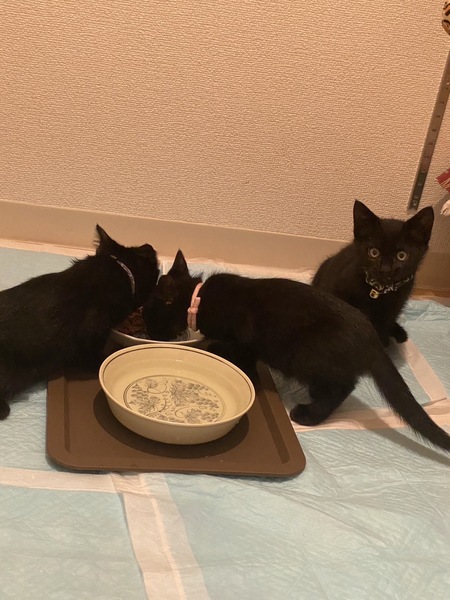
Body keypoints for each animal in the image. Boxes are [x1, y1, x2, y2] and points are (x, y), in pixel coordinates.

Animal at [142, 250, 450, 453]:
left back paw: (309, 414)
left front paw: (221, 351)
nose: (148, 333)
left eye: (148, 315)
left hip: (304, 356)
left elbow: (243, 356)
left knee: (343, 386)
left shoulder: (246, 338)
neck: (199, 299)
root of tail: (370, 338)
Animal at [312, 200, 434, 346]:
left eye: (402, 255)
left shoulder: (393, 308)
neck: (379, 290)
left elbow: (383, 329)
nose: (385, 269)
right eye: (374, 252)